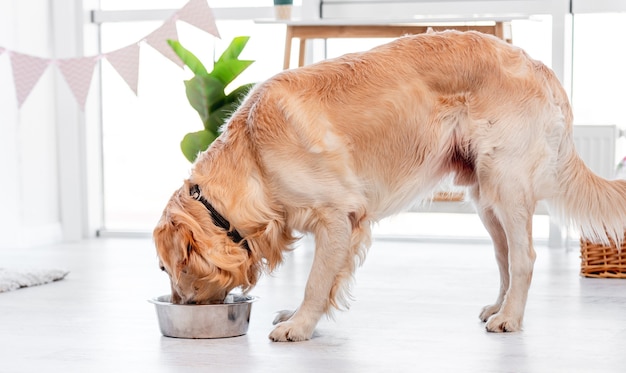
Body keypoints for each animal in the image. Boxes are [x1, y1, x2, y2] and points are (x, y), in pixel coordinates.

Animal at [152, 30, 624, 342]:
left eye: (165, 268)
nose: (178, 307)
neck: (253, 158)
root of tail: (539, 66)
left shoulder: (337, 215)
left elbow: (315, 280)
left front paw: (298, 325)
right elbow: (326, 280)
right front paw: (299, 316)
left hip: (505, 184)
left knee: (524, 256)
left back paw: (510, 319)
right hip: (485, 196)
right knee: (505, 256)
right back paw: (499, 306)